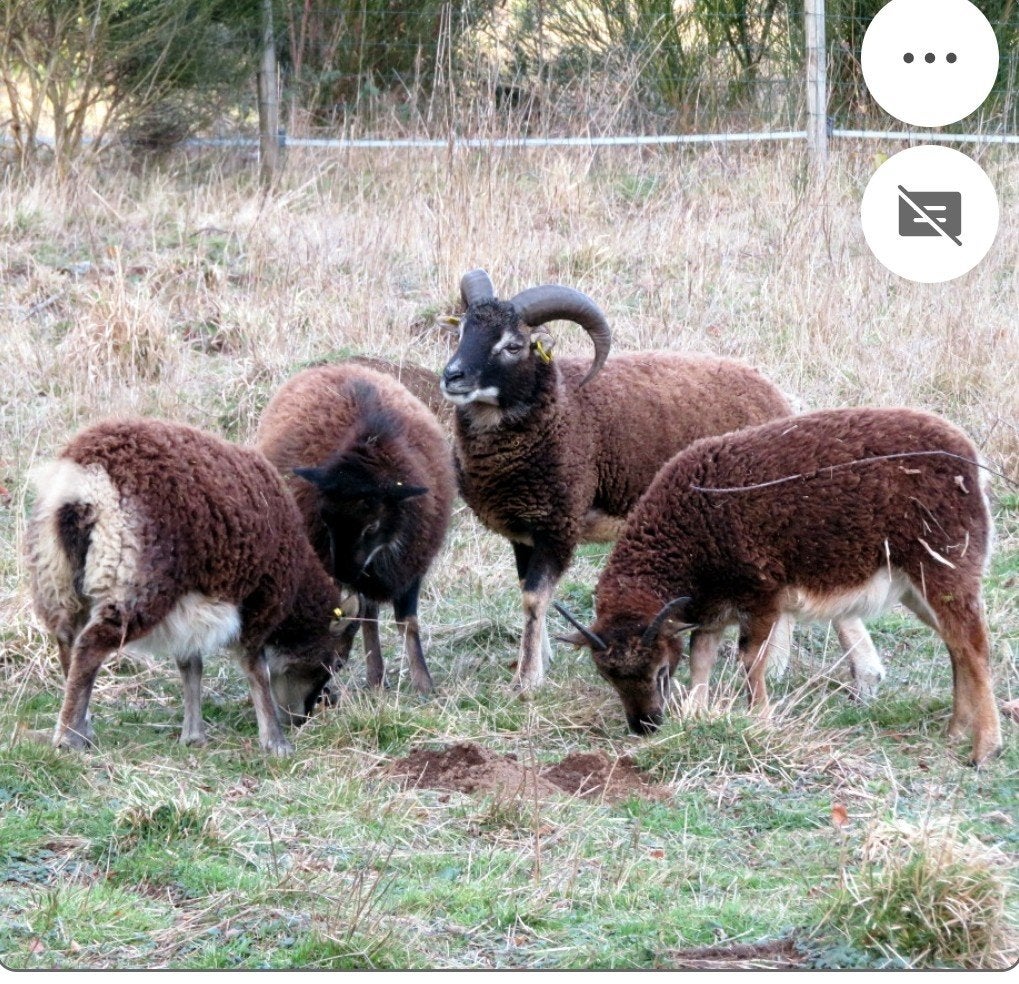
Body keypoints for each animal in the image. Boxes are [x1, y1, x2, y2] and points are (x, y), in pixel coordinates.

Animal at [25, 418, 361, 756]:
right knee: (89, 646)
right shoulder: (258, 605)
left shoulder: (188, 611)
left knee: (67, 642)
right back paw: (68, 738)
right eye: (336, 662)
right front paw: (275, 741)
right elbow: (257, 670)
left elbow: (191, 666)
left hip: (56, 577)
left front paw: (193, 735)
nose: (301, 718)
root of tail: (85, 485)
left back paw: (82, 726)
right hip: (136, 583)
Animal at [255, 362, 456, 695]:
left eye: (372, 523)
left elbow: (408, 622)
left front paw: (424, 683)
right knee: (364, 613)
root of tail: (334, 365)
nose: (344, 573)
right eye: (326, 520)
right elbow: (356, 615)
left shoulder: (411, 567)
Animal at [440, 269, 884, 694]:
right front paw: (538, 659)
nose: (452, 376)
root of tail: (774, 397)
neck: (561, 408)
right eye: (461, 331)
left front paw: (527, 680)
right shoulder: (523, 532)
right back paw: (805, 670)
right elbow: (530, 595)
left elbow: (534, 599)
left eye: (513, 345)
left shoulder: (558, 526)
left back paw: (845, 674)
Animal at [555, 406, 1002, 765]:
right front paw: (696, 715)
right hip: (915, 588)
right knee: (955, 645)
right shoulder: (712, 609)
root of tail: (969, 458)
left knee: (974, 645)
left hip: (945, 565)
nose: (644, 725)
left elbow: (751, 659)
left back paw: (984, 748)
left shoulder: (762, 597)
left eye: (660, 671)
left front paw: (760, 718)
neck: (688, 530)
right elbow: (702, 657)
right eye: (608, 676)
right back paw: (956, 731)